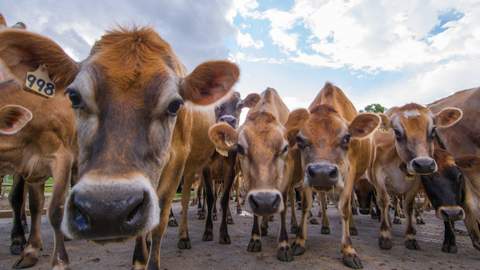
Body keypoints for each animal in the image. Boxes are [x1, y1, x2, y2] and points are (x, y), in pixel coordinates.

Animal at [0, 25, 239, 270]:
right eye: (74, 97)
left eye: (175, 105)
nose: (107, 210)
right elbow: (37, 204)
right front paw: (139, 259)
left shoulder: (178, 161)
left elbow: (161, 216)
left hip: (192, 168)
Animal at [210, 88, 296, 262]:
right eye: (240, 148)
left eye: (285, 148)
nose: (265, 201)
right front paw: (255, 238)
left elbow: (283, 208)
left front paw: (284, 244)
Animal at [284, 82, 380, 268]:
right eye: (300, 140)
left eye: (347, 138)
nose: (322, 172)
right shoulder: (307, 176)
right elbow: (306, 205)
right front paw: (299, 241)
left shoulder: (349, 174)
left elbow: (345, 208)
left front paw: (348, 250)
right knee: (322, 200)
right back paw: (325, 225)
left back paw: (353, 227)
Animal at [370, 102, 464, 252]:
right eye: (396, 132)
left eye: (433, 130)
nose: (424, 164)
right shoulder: (379, 177)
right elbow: (384, 201)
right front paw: (385, 235)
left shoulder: (416, 184)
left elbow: (410, 206)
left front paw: (411, 237)